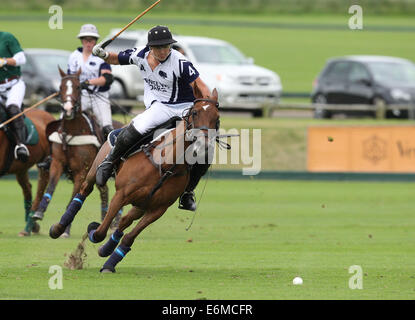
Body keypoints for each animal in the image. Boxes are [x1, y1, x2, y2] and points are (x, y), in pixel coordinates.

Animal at [0, 102, 55, 235]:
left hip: (45, 164)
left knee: (39, 193)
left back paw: (28, 227)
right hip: (21, 167)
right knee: (28, 189)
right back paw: (33, 226)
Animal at [27, 67, 123, 238]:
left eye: (78, 87)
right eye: (60, 87)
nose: (68, 110)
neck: (72, 133)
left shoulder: (81, 171)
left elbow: (73, 197)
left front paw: (65, 230)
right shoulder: (57, 163)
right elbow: (51, 186)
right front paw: (39, 212)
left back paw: (114, 222)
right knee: (104, 190)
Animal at [49, 89, 221, 272]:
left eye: (217, 118)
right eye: (195, 112)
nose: (203, 145)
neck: (166, 164)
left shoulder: (158, 209)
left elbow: (129, 237)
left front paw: (108, 261)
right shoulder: (121, 194)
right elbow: (100, 231)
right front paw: (92, 230)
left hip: (142, 203)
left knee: (126, 220)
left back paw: (107, 248)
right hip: (94, 170)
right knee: (84, 191)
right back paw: (58, 228)